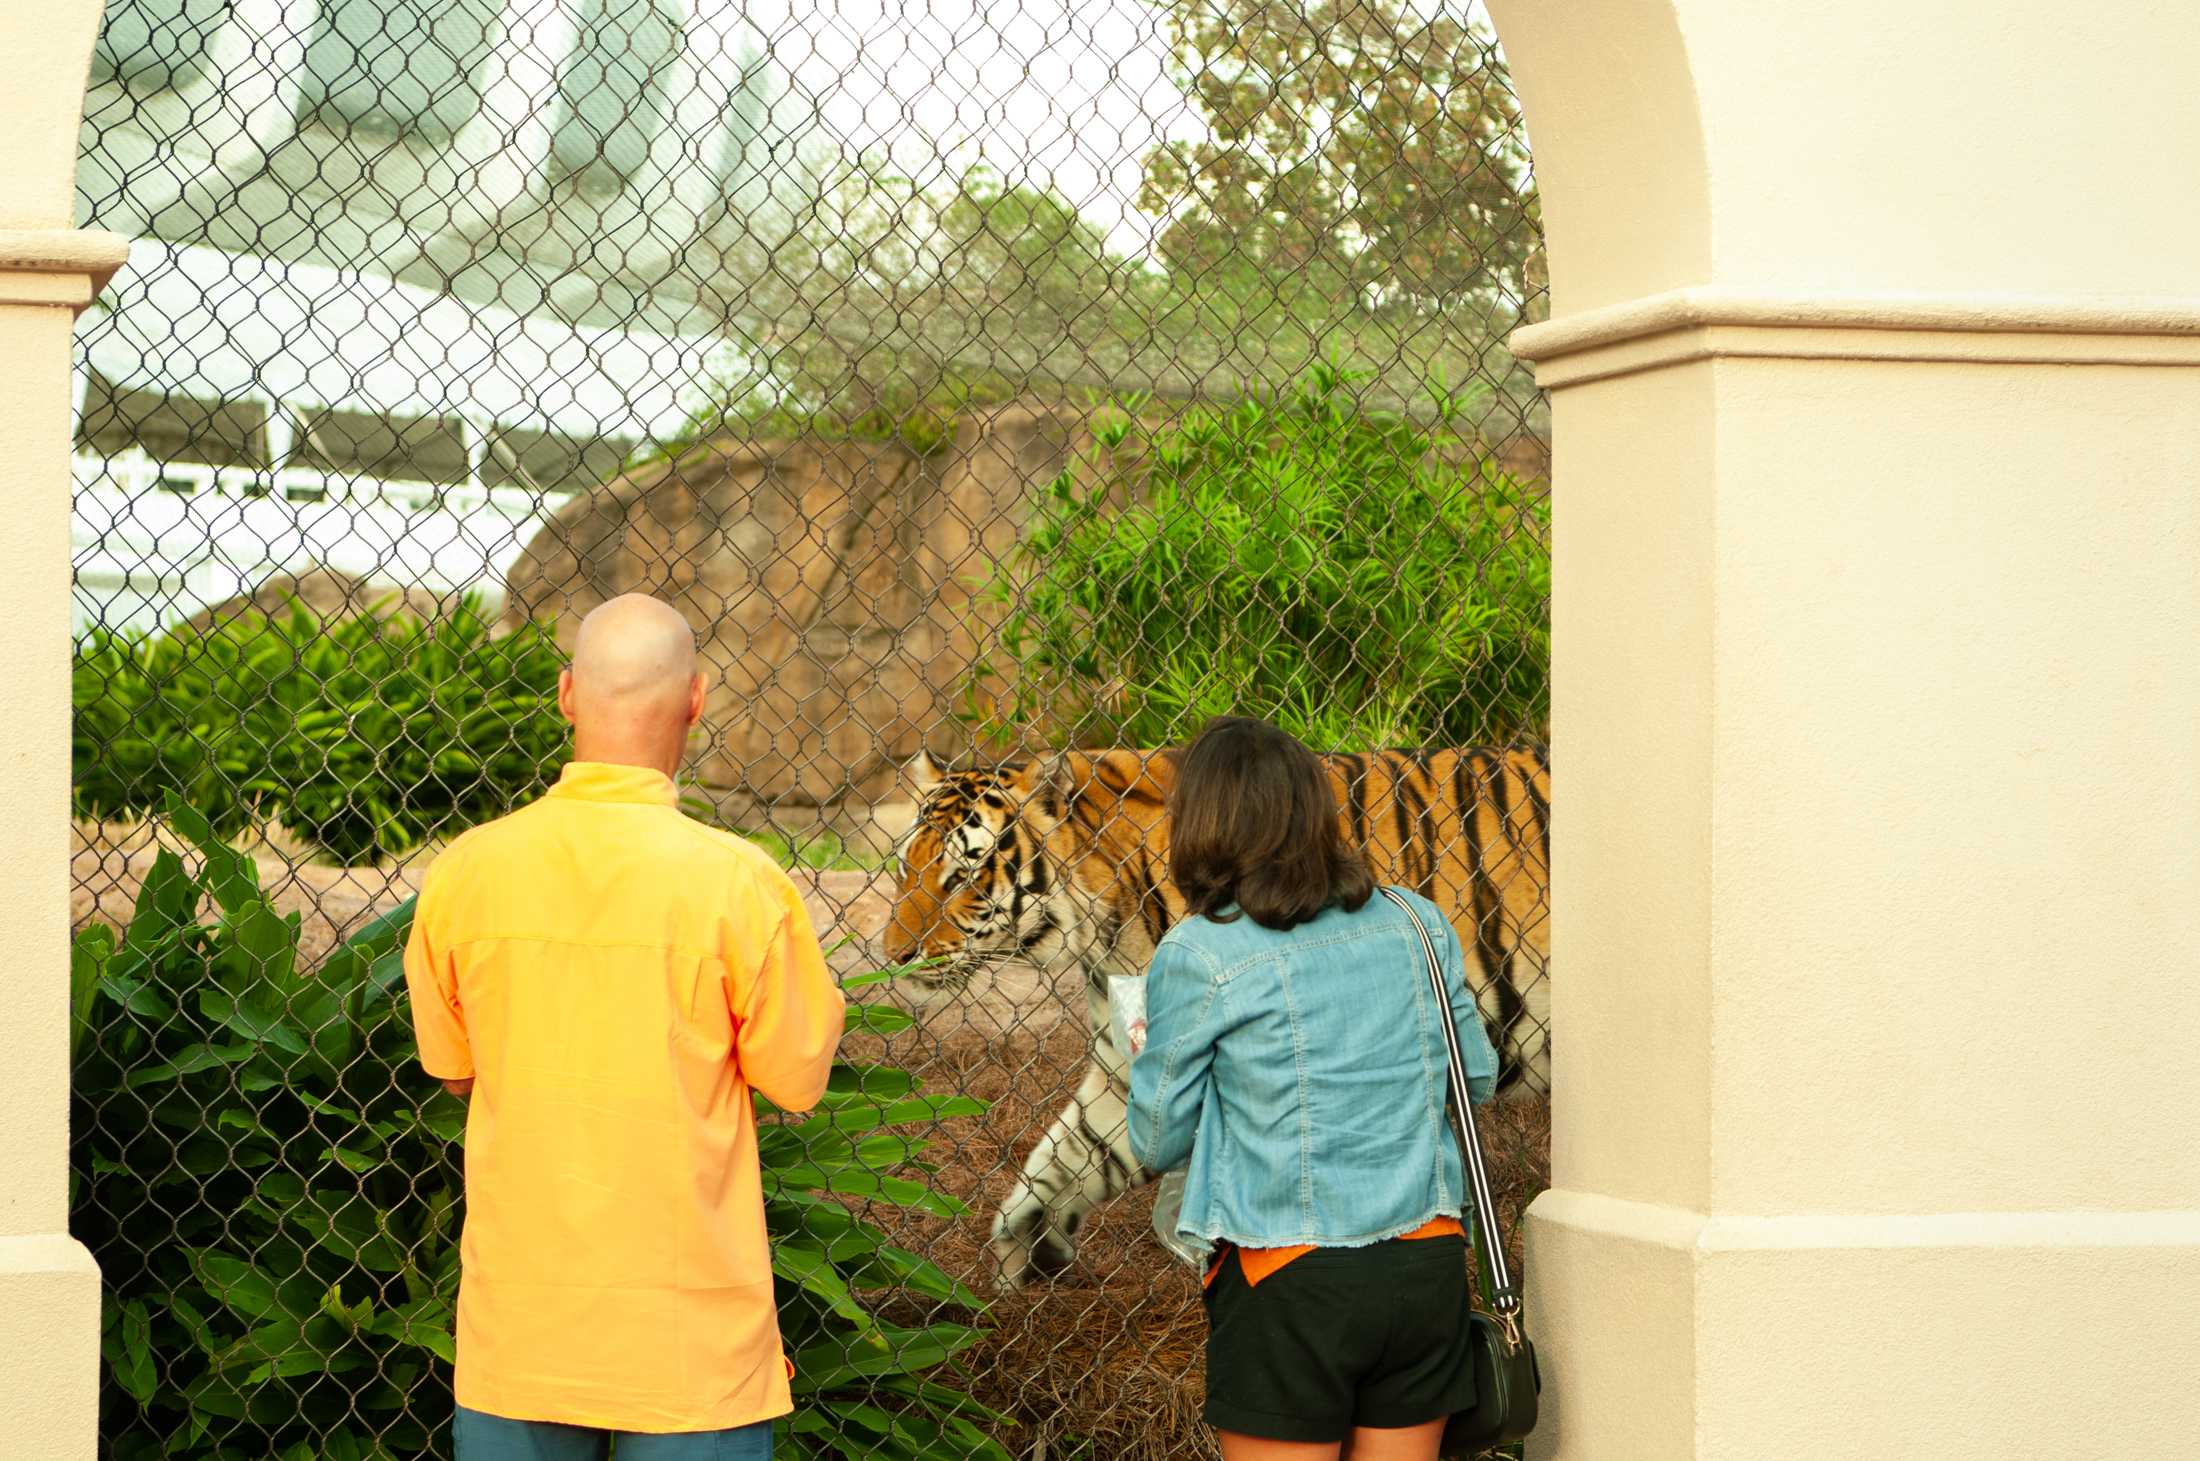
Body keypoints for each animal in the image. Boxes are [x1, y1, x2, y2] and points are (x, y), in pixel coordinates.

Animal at [880, 748, 1548, 1284]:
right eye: (905, 867)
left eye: (960, 878)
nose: (892, 956)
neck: (1097, 922)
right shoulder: (1127, 1069)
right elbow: (1065, 1157)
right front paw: (1026, 1247)